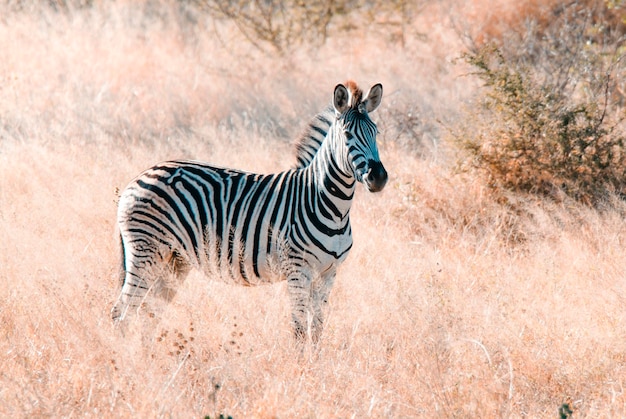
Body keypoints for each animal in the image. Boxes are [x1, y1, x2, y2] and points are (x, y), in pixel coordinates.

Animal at [112, 80, 386, 342]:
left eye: (376, 132)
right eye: (348, 134)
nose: (379, 178)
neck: (330, 207)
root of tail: (140, 176)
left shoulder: (328, 274)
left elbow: (317, 329)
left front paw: (316, 360)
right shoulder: (298, 270)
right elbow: (299, 329)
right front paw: (299, 361)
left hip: (174, 259)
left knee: (149, 312)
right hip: (146, 251)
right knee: (122, 313)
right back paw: (126, 356)